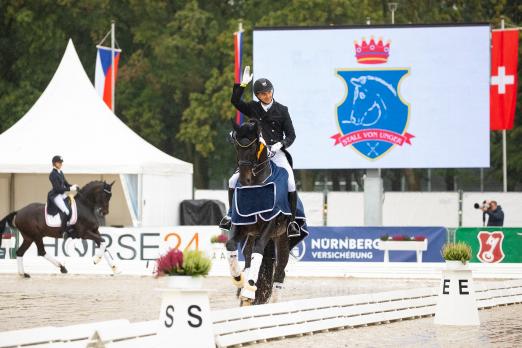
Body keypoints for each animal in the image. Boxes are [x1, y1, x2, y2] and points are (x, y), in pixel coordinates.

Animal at [224, 121, 288, 304]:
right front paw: (239, 280)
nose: (244, 179)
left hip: (282, 237)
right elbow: (230, 246)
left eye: (253, 147)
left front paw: (249, 289)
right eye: (236, 147)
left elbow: (258, 251)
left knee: (280, 271)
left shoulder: (270, 225)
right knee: (248, 258)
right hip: (251, 235)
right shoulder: (239, 224)